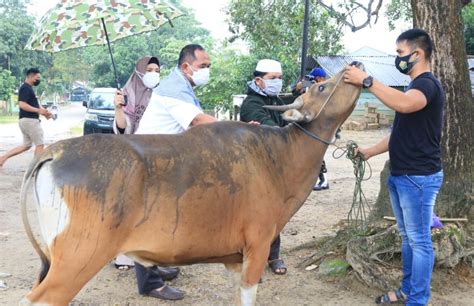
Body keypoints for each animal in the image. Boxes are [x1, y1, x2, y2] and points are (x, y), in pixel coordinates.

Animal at [18, 63, 362, 304]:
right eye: (322, 87)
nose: (355, 66)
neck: (277, 157)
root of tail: (54, 151)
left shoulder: (234, 259)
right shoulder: (258, 245)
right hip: (78, 258)